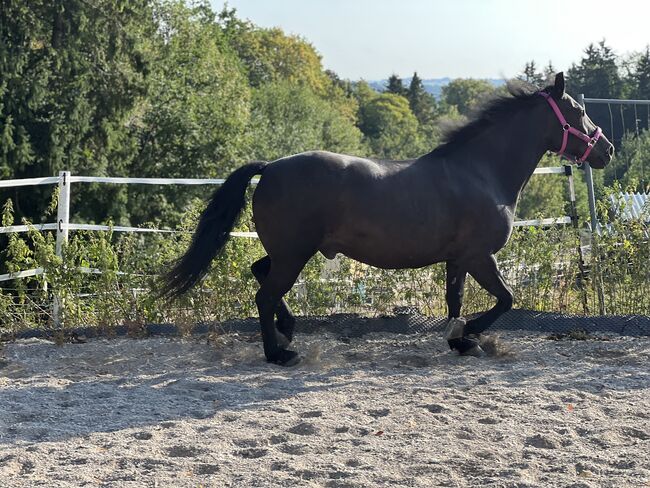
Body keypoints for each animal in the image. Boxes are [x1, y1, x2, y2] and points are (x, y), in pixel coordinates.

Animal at [162, 72, 613, 366]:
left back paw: (286, 331)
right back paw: (279, 353)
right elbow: (506, 299)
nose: (606, 149)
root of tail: (270, 167)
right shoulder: (480, 256)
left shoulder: (458, 259)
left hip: (287, 252)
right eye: (577, 111)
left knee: (260, 274)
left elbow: (455, 301)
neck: (481, 171)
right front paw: (470, 335)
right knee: (265, 294)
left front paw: (459, 341)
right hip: (293, 254)